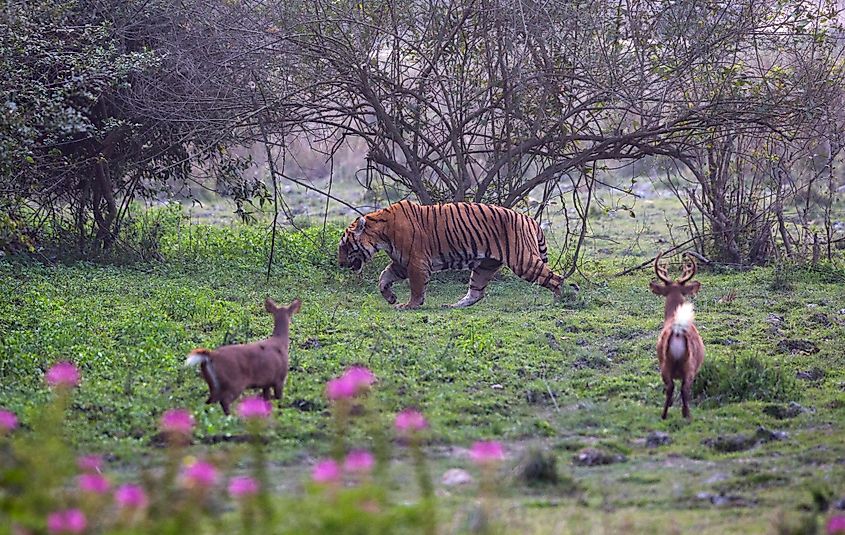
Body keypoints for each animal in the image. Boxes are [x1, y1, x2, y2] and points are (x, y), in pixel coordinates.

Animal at [332, 200, 572, 310]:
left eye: (344, 246)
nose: (340, 264)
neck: (380, 232)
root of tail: (529, 219)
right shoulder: (400, 263)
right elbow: (383, 278)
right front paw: (390, 298)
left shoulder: (416, 262)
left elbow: (416, 287)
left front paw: (410, 305)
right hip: (485, 266)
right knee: (476, 293)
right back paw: (454, 305)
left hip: (524, 261)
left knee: (557, 279)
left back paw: (561, 300)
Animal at [648, 255, 704, 422]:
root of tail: (678, 331)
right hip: (688, 366)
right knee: (682, 389)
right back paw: (686, 415)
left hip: (664, 364)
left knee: (670, 387)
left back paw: (665, 415)